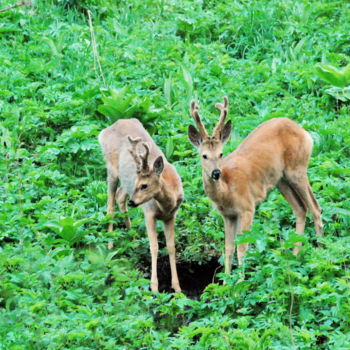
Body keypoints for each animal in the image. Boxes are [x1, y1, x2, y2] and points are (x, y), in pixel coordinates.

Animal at [99, 119, 185, 292]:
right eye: (137, 183)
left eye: (144, 185)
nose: (133, 202)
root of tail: (106, 130)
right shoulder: (149, 213)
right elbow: (154, 247)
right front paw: (154, 287)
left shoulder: (171, 216)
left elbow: (171, 247)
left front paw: (177, 288)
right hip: (111, 170)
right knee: (110, 206)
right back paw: (110, 244)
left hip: (124, 184)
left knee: (120, 197)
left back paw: (133, 239)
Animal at [189, 95, 322, 276]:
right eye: (204, 156)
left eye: (221, 154)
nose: (216, 173)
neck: (227, 191)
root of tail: (304, 131)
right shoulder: (228, 215)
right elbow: (228, 248)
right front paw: (226, 280)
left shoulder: (247, 208)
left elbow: (242, 248)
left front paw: (240, 281)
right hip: (281, 180)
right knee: (301, 209)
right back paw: (294, 257)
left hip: (298, 168)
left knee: (315, 207)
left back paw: (320, 253)